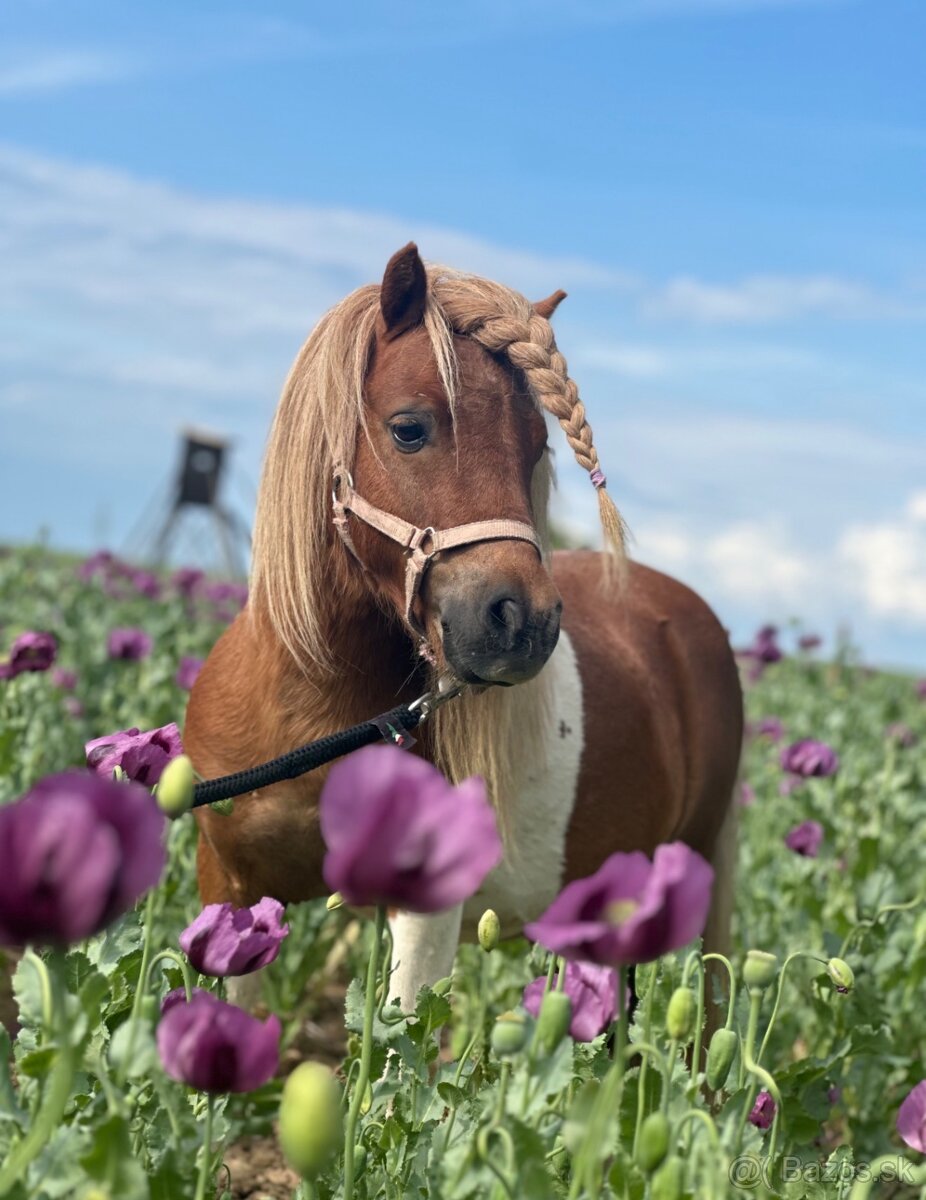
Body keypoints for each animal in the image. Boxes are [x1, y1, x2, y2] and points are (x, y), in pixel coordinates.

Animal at [184, 243, 743, 1012]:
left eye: (536, 446)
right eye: (409, 428)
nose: (522, 623)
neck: (309, 715)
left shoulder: (425, 915)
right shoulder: (230, 888)